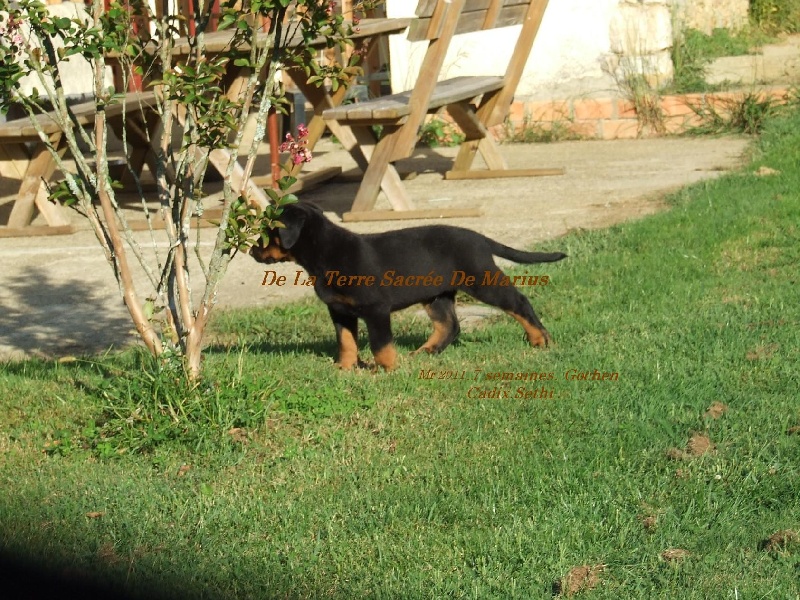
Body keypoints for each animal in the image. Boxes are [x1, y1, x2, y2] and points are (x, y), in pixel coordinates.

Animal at [253, 203, 564, 370]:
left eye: (268, 230)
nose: (252, 250)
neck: (324, 252)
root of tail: (480, 238)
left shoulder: (376, 309)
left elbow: (380, 344)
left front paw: (387, 369)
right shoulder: (339, 311)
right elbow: (346, 342)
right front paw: (345, 368)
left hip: (482, 280)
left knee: (519, 302)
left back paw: (540, 339)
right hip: (436, 295)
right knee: (449, 326)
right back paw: (426, 352)